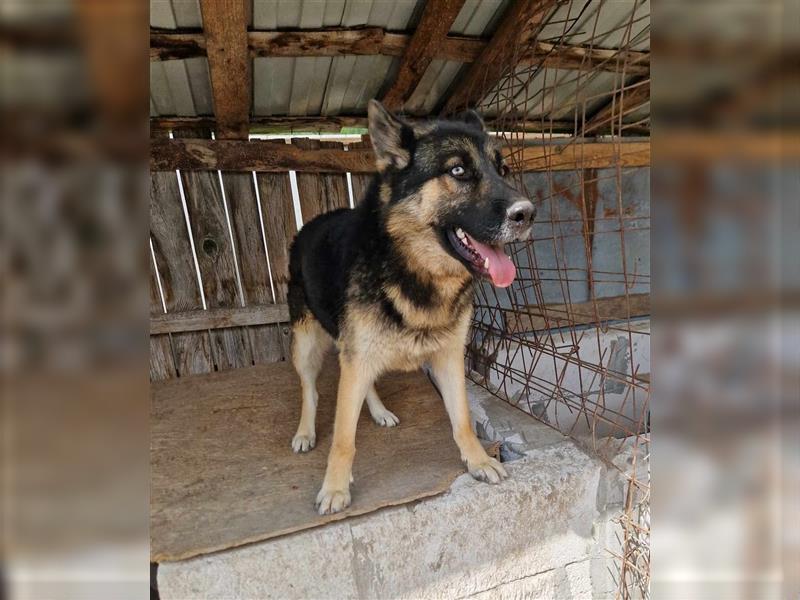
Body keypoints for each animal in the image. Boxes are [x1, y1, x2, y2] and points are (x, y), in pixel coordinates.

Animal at [284, 101, 536, 512]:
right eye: (458, 170)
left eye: (503, 170)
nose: (528, 213)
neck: (415, 270)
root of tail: (310, 224)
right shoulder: (356, 357)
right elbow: (342, 438)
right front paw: (335, 488)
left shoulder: (449, 357)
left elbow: (462, 419)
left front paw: (478, 460)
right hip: (307, 344)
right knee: (310, 389)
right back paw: (306, 431)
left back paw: (379, 411)